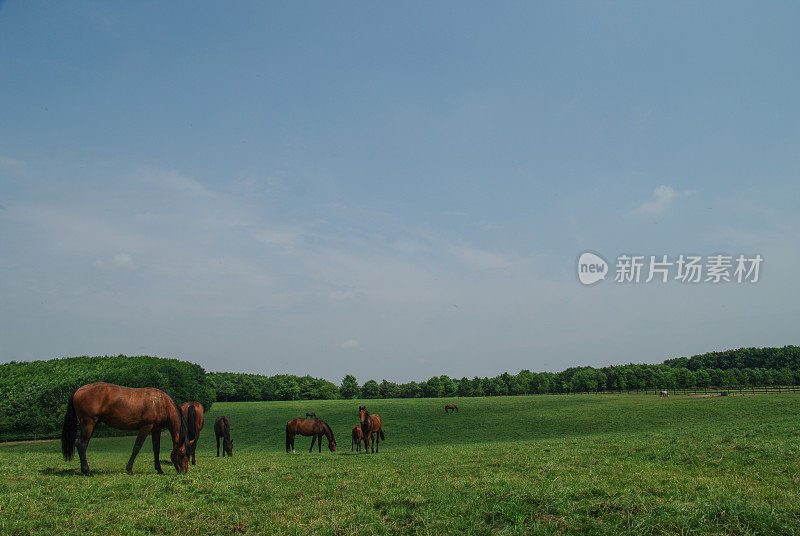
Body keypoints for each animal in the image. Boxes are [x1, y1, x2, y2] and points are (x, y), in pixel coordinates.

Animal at [61, 384, 190, 476]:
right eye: (182, 454)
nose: (184, 472)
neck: (161, 403)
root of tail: (79, 390)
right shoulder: (146, 427)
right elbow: (137, 447)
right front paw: (129, 469)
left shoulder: (156, 429)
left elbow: (156, 449)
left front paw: (159, 470)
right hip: (88, 423)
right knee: (81, 444)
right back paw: (87, 471)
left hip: (92, 425)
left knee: (83, 444)